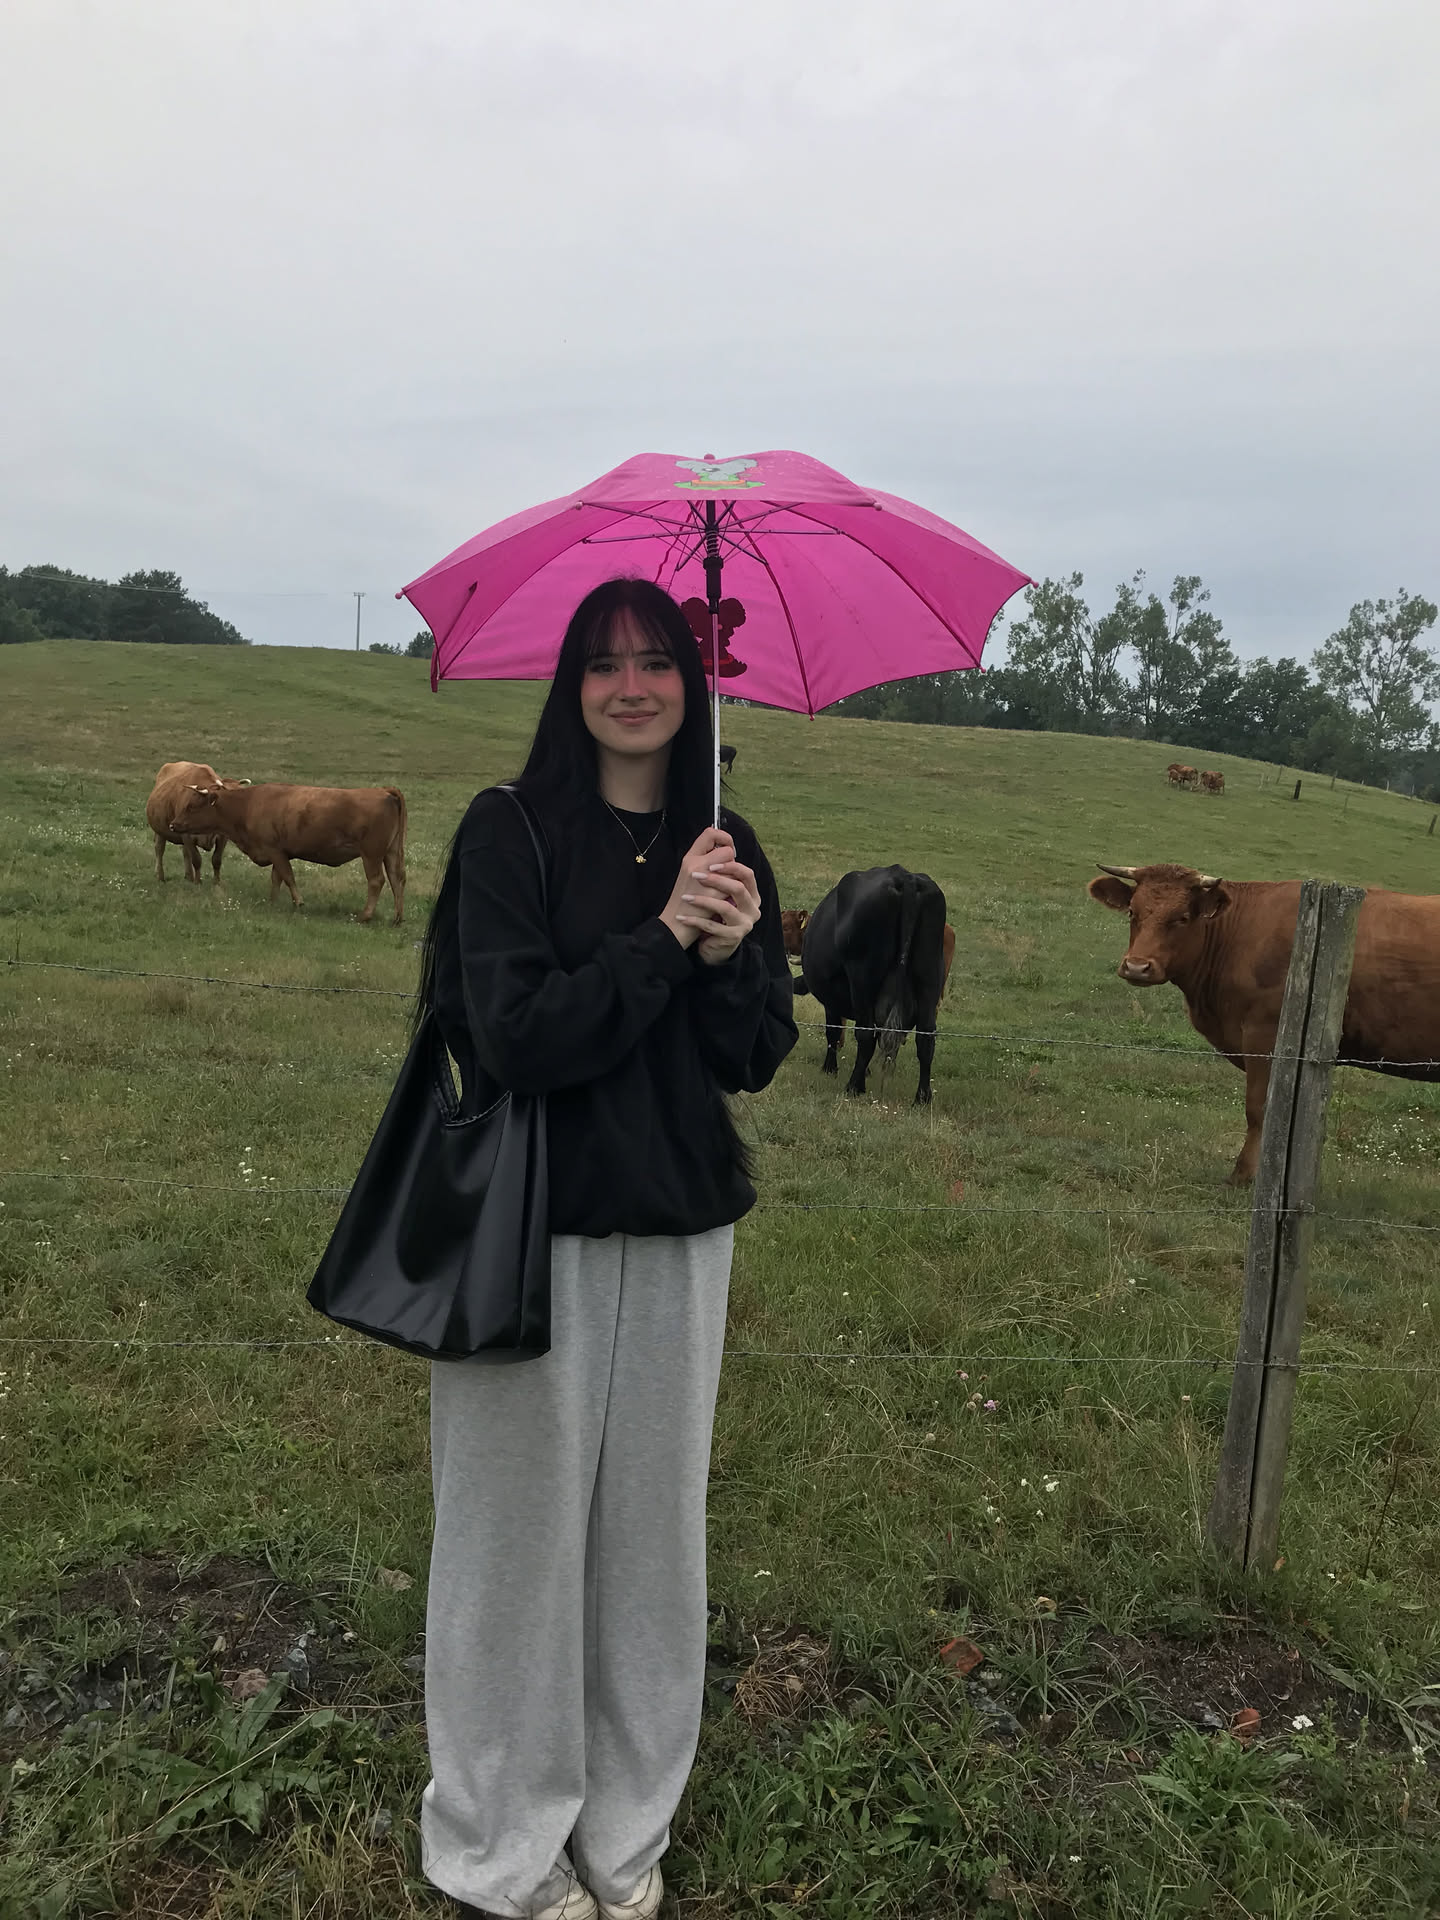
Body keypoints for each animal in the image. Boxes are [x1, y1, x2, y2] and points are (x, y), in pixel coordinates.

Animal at [168, 782, 408, 924]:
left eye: (191, 806)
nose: (173, 824)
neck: (249, 804)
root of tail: (384, 790)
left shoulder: (274, 849)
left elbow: (287, 876)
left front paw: (298, 902)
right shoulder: (278, 852)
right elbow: (277, 878)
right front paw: (273, 902)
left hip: (372, 854)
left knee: (377, 881)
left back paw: (365, 915)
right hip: (391, 852)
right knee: (397, 879)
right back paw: (397, 917)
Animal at [794, 865, 947, 1102]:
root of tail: (905, 877)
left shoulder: (831, 1001)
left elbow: (833, 1031)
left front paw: (830, 1068)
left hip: (862, 980)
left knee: (866, 1034)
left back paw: (854, 1086)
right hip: (929, 979)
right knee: (925, 1040)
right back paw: (922, 1097)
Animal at [1088, 861, 1440, 1183]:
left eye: (1183, 917)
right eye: (1132, 912)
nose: (1137, 967)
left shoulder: (1264, 1035)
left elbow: (1260, 1108)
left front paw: (1246, 1175)